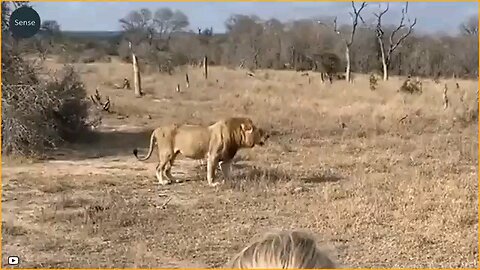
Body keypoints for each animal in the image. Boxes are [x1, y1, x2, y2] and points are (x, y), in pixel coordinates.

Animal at [133, 117, 268, 187]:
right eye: (259, 131)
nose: (268, 135)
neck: (235, 135)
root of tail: (157, 129)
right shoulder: (213, 156)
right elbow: (211, 172)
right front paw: (213, 183)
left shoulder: (226, 159)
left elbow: (228, 171)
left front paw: (230, 180)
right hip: (167, 153)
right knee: (159, 168)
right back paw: (163, 182)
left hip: (174, 155)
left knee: (167, 169)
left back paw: (175, 179)